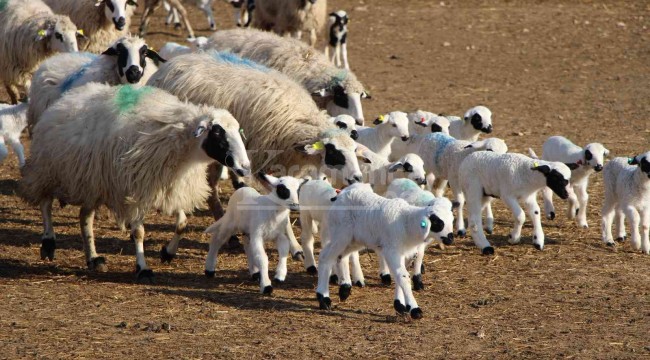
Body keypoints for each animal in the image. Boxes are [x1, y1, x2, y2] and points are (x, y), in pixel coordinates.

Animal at [17, 82, 251, 278]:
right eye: (218, 134)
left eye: (239, 132)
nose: (245, 167)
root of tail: (67, 98)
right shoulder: (134, 189)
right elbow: (139, 232)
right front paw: (143, 267)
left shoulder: (169, 185)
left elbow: (182, 224)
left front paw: (167, 252)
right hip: (49, 170)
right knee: (45, 203)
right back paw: (48, 243)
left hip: (92, 182)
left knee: (84, 217)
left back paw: (93, 258)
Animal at [314, 184, 450, 320]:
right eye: (437, 222)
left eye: (451, 219)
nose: (450, 238)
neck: (406, 223)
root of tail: (340, 195)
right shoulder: (392, 251)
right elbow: (403, 277)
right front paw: (414, 309)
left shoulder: (405, 254)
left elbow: (400, 276)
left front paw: (400, 305)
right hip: (341, 233)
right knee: (325, 256)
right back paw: (324, 298)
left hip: (354, 239)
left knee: (341, 256)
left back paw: (345, 289)